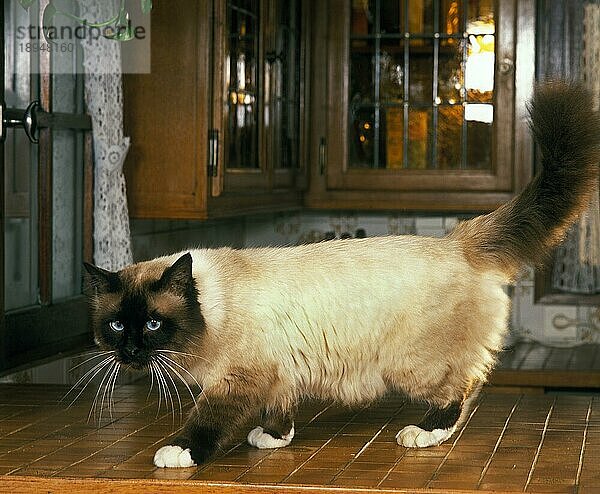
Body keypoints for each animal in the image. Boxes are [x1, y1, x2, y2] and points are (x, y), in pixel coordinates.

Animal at [83, 82, 600, 466]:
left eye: (153, 324)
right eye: (117, 325)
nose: (130, 352)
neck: (210, 310)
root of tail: (457, 239)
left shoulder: (238, 380)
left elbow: (206, 421)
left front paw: (177, 453)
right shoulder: (278, 376)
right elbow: (278, 412)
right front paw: (273, 438)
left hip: (411, 364)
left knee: (466, 386)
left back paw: (425, 433)